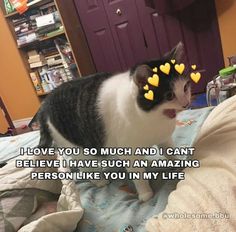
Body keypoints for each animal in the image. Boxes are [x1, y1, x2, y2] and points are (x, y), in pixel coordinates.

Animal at [37, 42, 192, 202]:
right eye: (169, 95)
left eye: (185, 87)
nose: (186, 104)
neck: (151, 118)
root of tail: (46, 101)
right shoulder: (130, 153)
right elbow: (139, 176)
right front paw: (145, 194)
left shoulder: (164, 139)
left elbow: (171, 153)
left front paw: (180, 166)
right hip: (77, 146)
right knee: (84, 166)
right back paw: (99, 180)